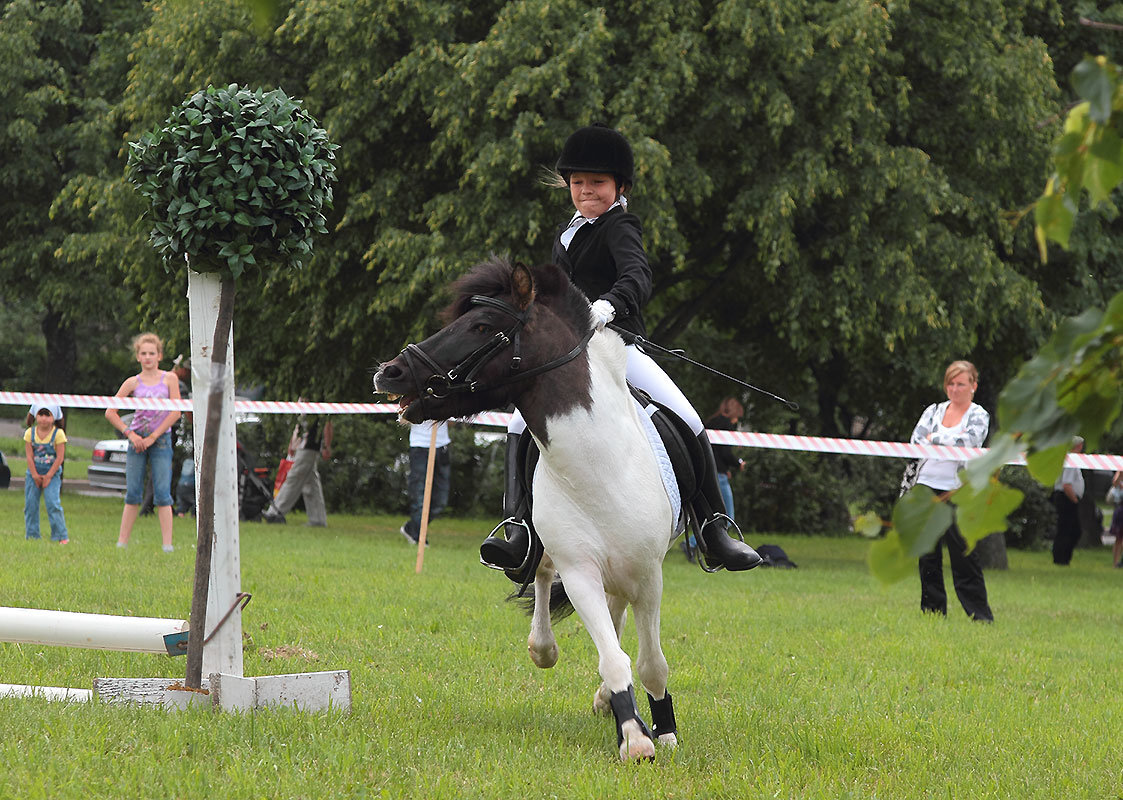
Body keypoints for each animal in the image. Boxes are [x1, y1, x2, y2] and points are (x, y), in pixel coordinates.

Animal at [375, 257, 682, 764]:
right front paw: (633, 735)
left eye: (481, 326)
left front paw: (663, 729)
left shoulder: (651, 575)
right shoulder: (579, 571)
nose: (391, 372)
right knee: (546, 581)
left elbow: (651, 663)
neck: (601, 467)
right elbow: (613, 656)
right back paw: (553, 652)